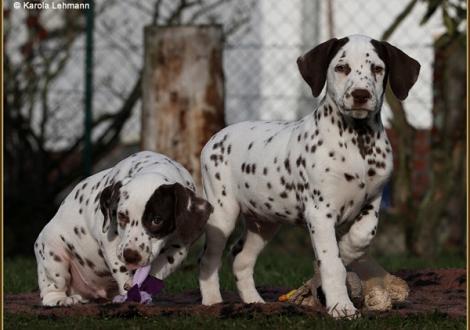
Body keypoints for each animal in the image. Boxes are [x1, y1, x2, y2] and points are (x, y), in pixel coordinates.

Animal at [35, 151, 213, 306]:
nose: (131, 256)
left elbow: (157, 271)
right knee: (51, 289)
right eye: (122, 216)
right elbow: (120, 268)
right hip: (54, 254)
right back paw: (61, 300)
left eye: (157, 220)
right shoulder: (110, 241)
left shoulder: (178, 248)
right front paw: (129, 288)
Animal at [197, 35, 418, 318]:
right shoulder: (320, 212)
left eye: (377, 69)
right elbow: (331, 263)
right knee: (209, 259)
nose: (361, 95)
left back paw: (255, 302)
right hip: (222, 214)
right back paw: (213, 302)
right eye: (342, 68)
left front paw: (347, 251)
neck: (358, 141)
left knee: (241, 259)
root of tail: (216, 136)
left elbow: (362, 236)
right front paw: (341, 306)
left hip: (264, 223)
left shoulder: (374, 200)